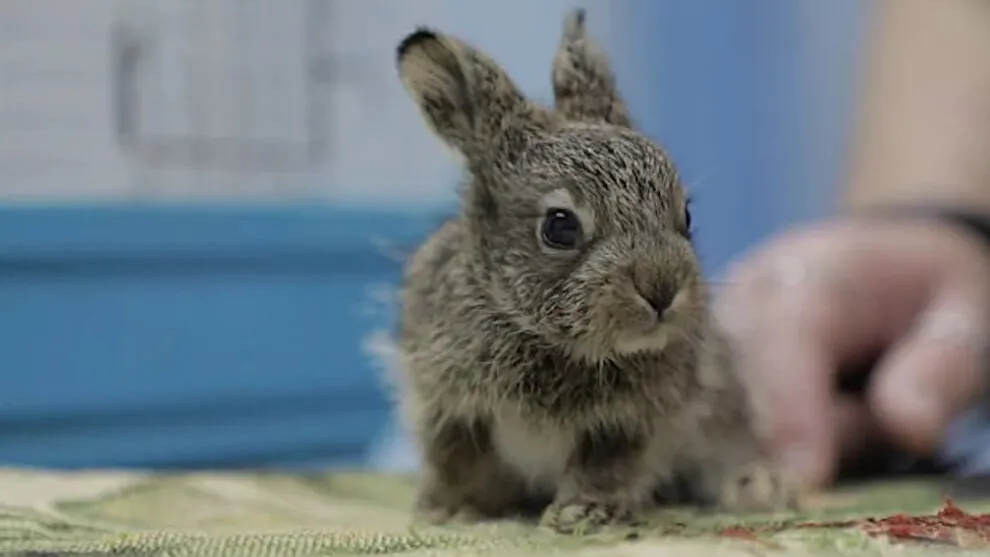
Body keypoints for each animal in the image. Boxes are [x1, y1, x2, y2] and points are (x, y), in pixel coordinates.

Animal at [392, 7, 804, 528]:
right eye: (560, 226)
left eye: (686, 216)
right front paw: (447, 510)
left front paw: (584, 512)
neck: (547, 338)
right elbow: (455, 459)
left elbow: (607, 465)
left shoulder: (630, 422)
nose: (661, 288)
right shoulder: (450, 407)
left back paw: (757, 487)